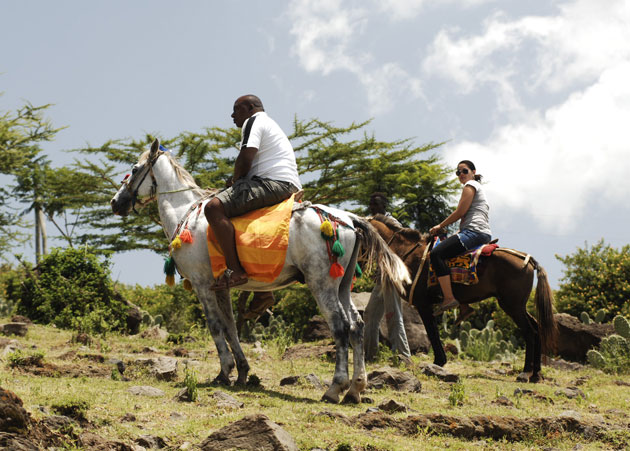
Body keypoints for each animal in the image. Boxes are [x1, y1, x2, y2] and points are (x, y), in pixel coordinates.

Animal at [370, 215, 556, 382]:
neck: (407, 254)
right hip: (518, 306)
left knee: (530, 332)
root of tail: (529, 261)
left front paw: (439, 361)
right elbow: (433, 332)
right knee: (536, 327)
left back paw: (525, 373)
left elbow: (432, 332)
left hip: (511, 305)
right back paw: (536, 374)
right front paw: (439, 361)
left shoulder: (423, 305)